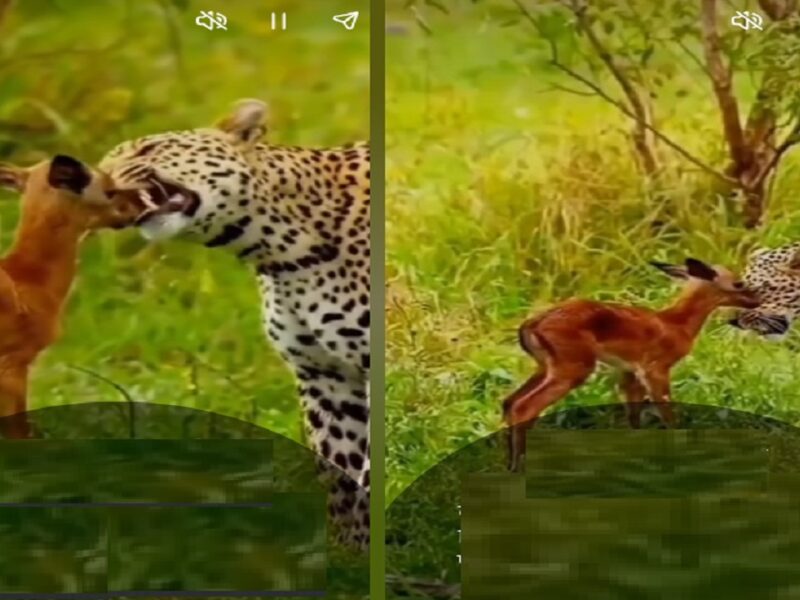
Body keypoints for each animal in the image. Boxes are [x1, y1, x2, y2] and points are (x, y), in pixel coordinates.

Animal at [99, 99, 370, 547]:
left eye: (148, 149)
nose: (97, 181)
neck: (281, 254)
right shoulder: (324, 377)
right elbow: (344, 479)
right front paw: (350, 553)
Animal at [502, 258, 762, 472]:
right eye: (738, 283)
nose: (757, 299)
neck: (677, 325)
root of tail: (530, 326)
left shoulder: (629, 370)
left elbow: (633, 414)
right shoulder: (656, 367)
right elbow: (666, 411)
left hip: (547, 365)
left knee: (510, 401)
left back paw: (510, 463)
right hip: (574, 365)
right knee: (524, 406)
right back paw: (519, 467)